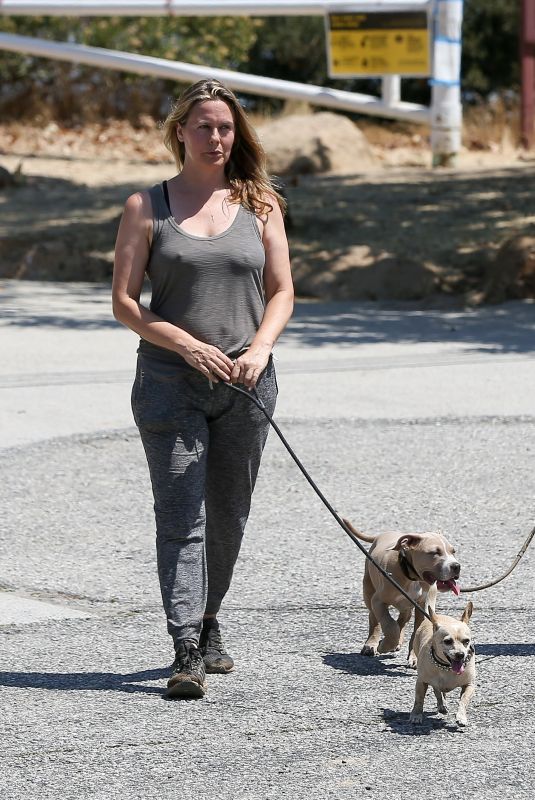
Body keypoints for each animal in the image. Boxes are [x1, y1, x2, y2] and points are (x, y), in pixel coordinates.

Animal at [344, 520, 460, 664]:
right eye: (434, 552)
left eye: (453, 551)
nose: (456, 566)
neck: (411, 575)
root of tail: (382, 535)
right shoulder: (378, 601)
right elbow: (389, 625)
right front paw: (384, 646)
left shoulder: (423, 605)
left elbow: (415, 630)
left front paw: (413, 656)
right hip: (368, 591)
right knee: (374, 618)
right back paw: (371, 644)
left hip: (411, 604)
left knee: (403, 618)